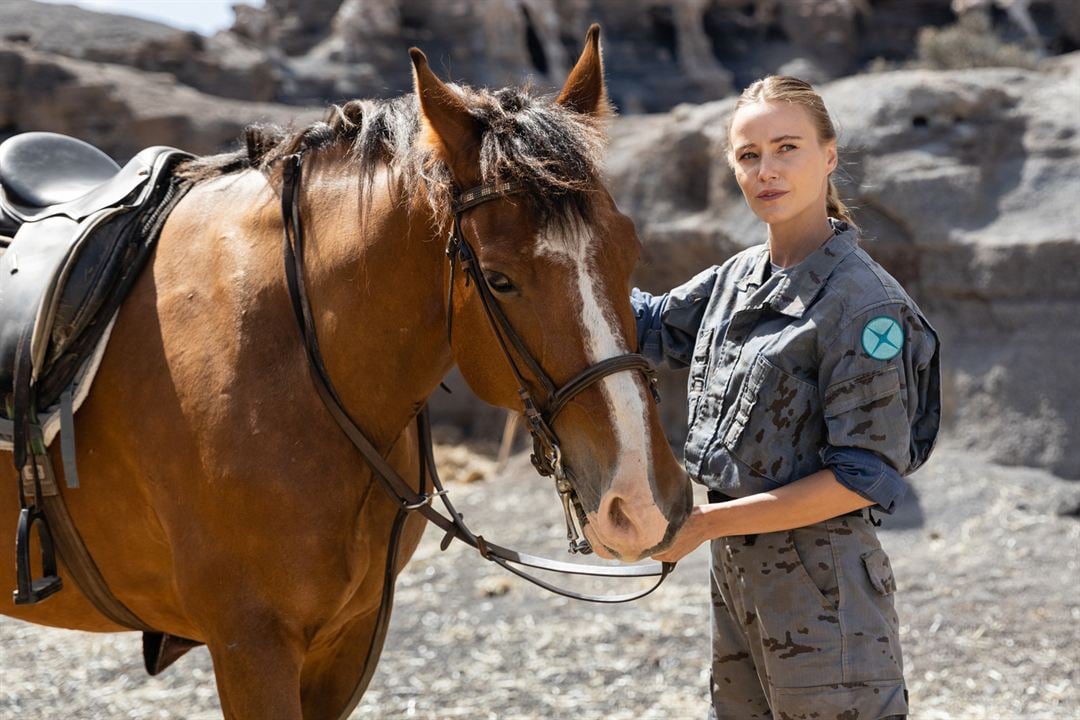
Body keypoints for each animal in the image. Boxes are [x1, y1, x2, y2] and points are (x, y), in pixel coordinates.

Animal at [0, 26, 691, 716]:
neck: (289, 361)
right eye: (499, 278)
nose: (644, 503)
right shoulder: (250, 646)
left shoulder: (348, 638)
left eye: (630, 250)